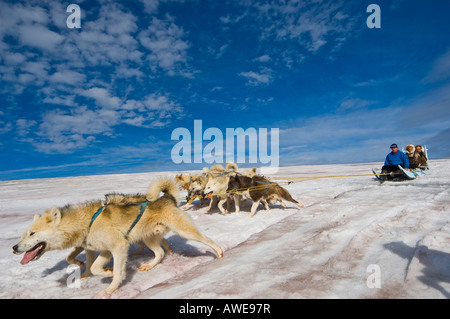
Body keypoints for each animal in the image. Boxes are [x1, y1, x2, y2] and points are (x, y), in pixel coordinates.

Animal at [13, 178, 224, 296]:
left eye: (32, 233)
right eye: (23, 234)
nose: (14, 248)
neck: (87, 222)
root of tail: (167, 198)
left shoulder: (118, 247)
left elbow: (113, 272)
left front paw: (110, 287)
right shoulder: (104, 250)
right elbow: (93, 267)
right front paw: (102, 273)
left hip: (183, 230)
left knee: (205, 239)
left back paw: (219, 252)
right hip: (148, 238)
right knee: (160, 253)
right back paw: (149, 264)